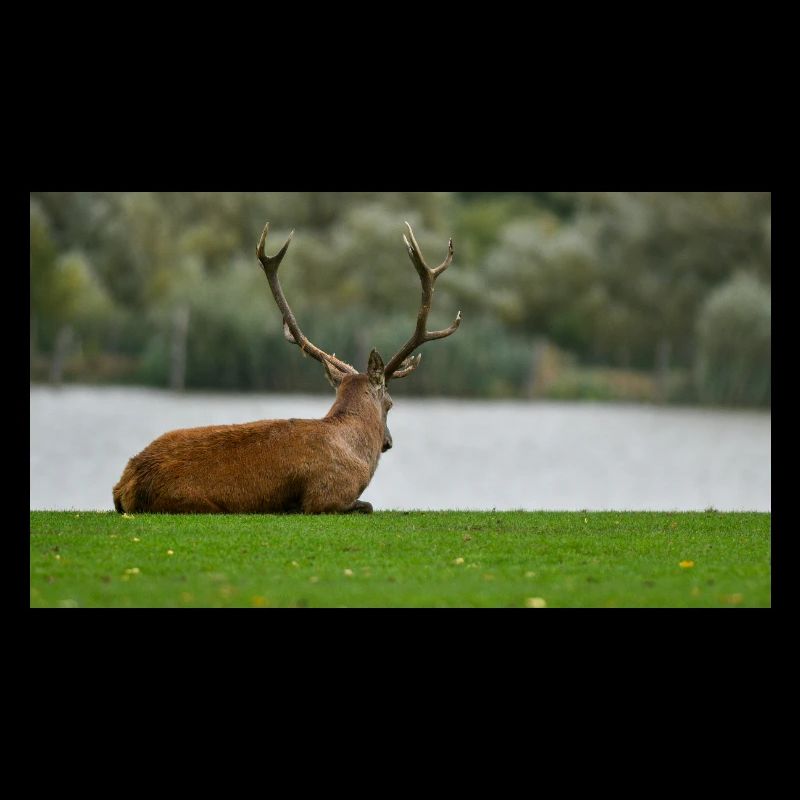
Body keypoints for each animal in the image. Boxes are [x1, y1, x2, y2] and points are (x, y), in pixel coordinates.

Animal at [112, 221, 462, 514]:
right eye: (390, 403)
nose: (388, 442)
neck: (356, 450)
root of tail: (125, 484)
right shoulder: (327, 496)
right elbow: (367, 505)